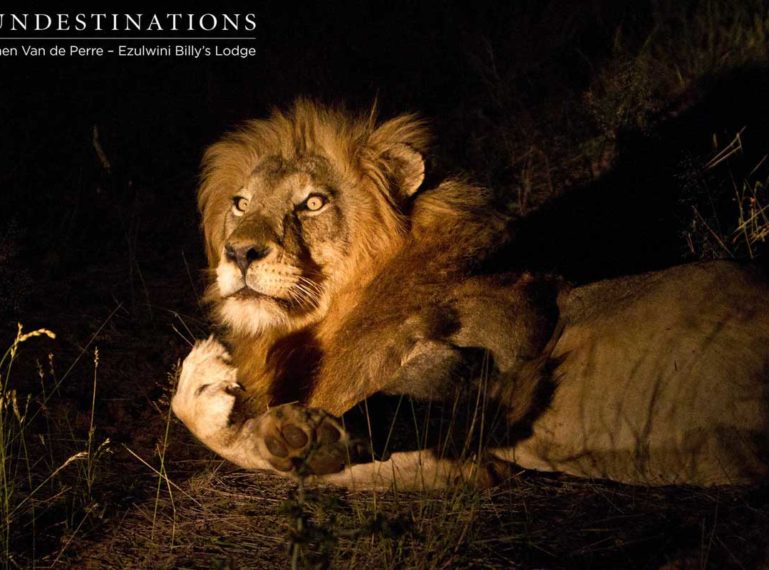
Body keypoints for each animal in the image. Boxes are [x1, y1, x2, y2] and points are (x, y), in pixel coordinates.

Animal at [172, 98, 768, 488]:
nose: (239, 253)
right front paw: (208, 395)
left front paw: (296, 431)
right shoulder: (462, 469)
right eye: (241, 204)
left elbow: (397, 398)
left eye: (312, 203)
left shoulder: (511, 341)